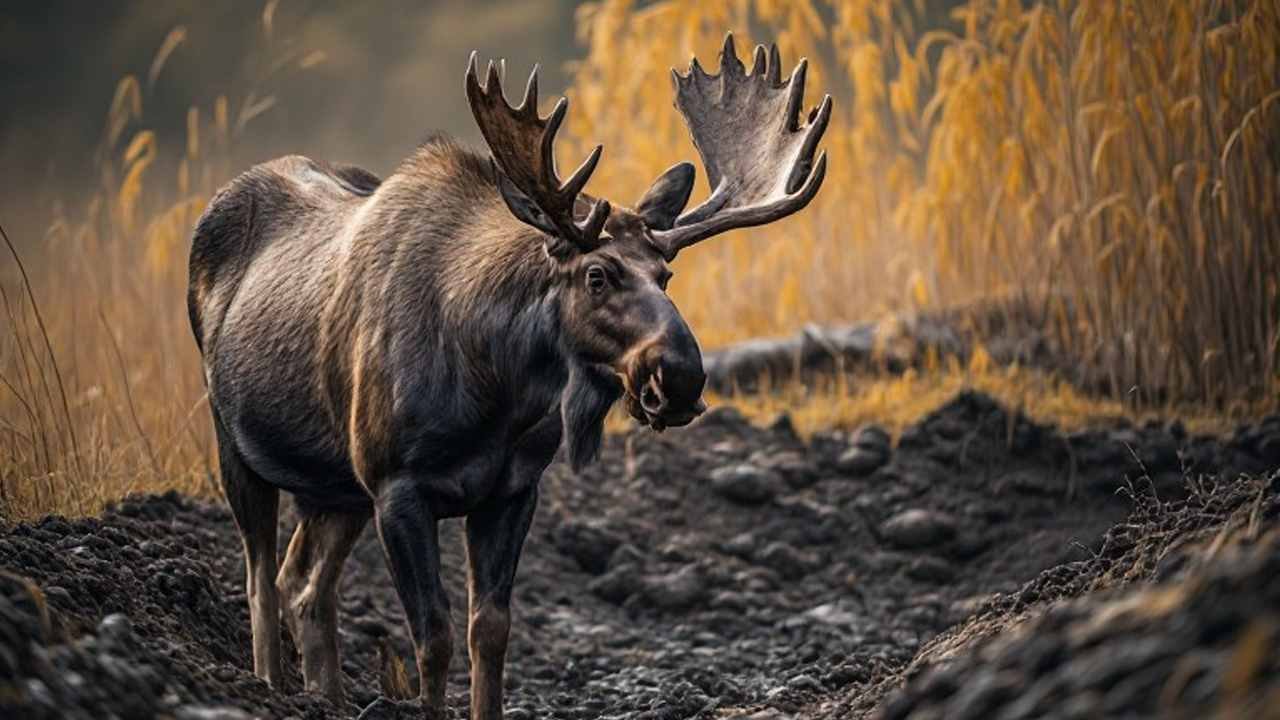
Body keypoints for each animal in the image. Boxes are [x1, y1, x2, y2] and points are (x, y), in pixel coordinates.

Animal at [187, 34, 830, 719]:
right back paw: (269, 687)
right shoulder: (397, 486)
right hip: (237, 445)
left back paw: (326, 695)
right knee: (260, 579)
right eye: (597, 274)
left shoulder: (513, 488)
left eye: (667, 275)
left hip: (335, 488)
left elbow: (490, 630)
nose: (680, 377)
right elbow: (433, 637)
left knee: (303, 583)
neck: (494, 392)